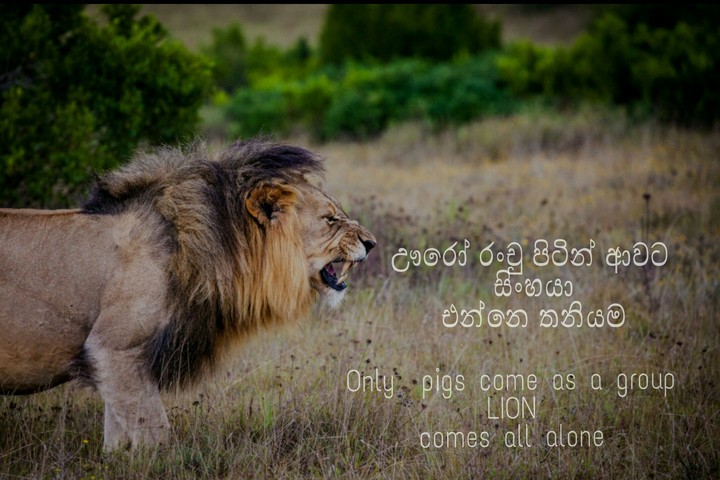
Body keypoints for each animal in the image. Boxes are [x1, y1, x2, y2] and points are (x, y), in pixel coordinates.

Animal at [0, 139, 376, 450]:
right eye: (330, 219)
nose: (371, 243)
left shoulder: (117, 363)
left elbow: (118, 438)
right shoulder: (113, 348)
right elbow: (155, 434)